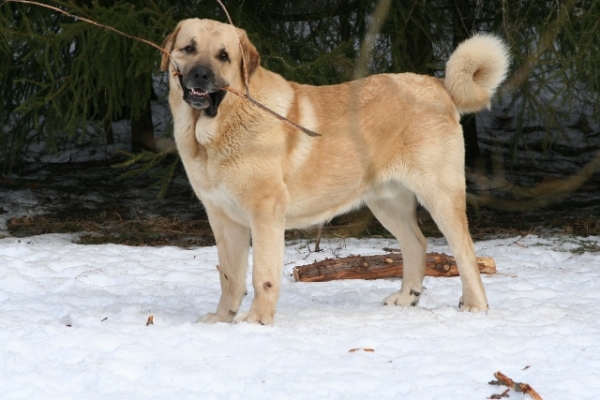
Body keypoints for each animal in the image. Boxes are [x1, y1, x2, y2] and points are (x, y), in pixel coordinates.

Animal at [162, 19, 508, 324]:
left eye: (224, 56)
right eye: (189, 48)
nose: (200, 74)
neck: (213, 131)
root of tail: (438, 84)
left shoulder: (265, 213)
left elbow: (262, 274)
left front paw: (258, 320)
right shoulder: (222, 218)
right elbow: (229, 276)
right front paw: (222, 319)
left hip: (440, 196)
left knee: (465, 251)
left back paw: (475, 306)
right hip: (387, 203)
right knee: (417, 244)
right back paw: (406, 297)